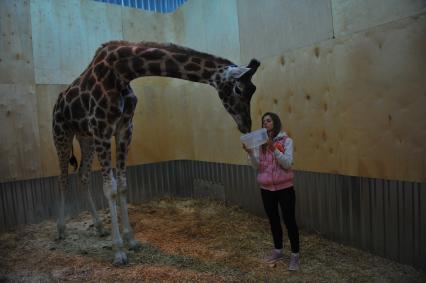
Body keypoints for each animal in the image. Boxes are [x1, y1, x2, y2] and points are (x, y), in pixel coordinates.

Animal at [52, 40, 262, 266]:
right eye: (239, 89)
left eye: (253, 89)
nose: (246, 125)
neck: (122, 72)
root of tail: (57, 103)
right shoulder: (102, 129)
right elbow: (110, 188)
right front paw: (119, 251)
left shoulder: (125, 129)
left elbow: (123, 185)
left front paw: (131, 240)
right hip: (62, 134)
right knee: (62, 179)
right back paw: (60, 229)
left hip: (85, 137)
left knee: (82, 175)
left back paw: (99, 227)